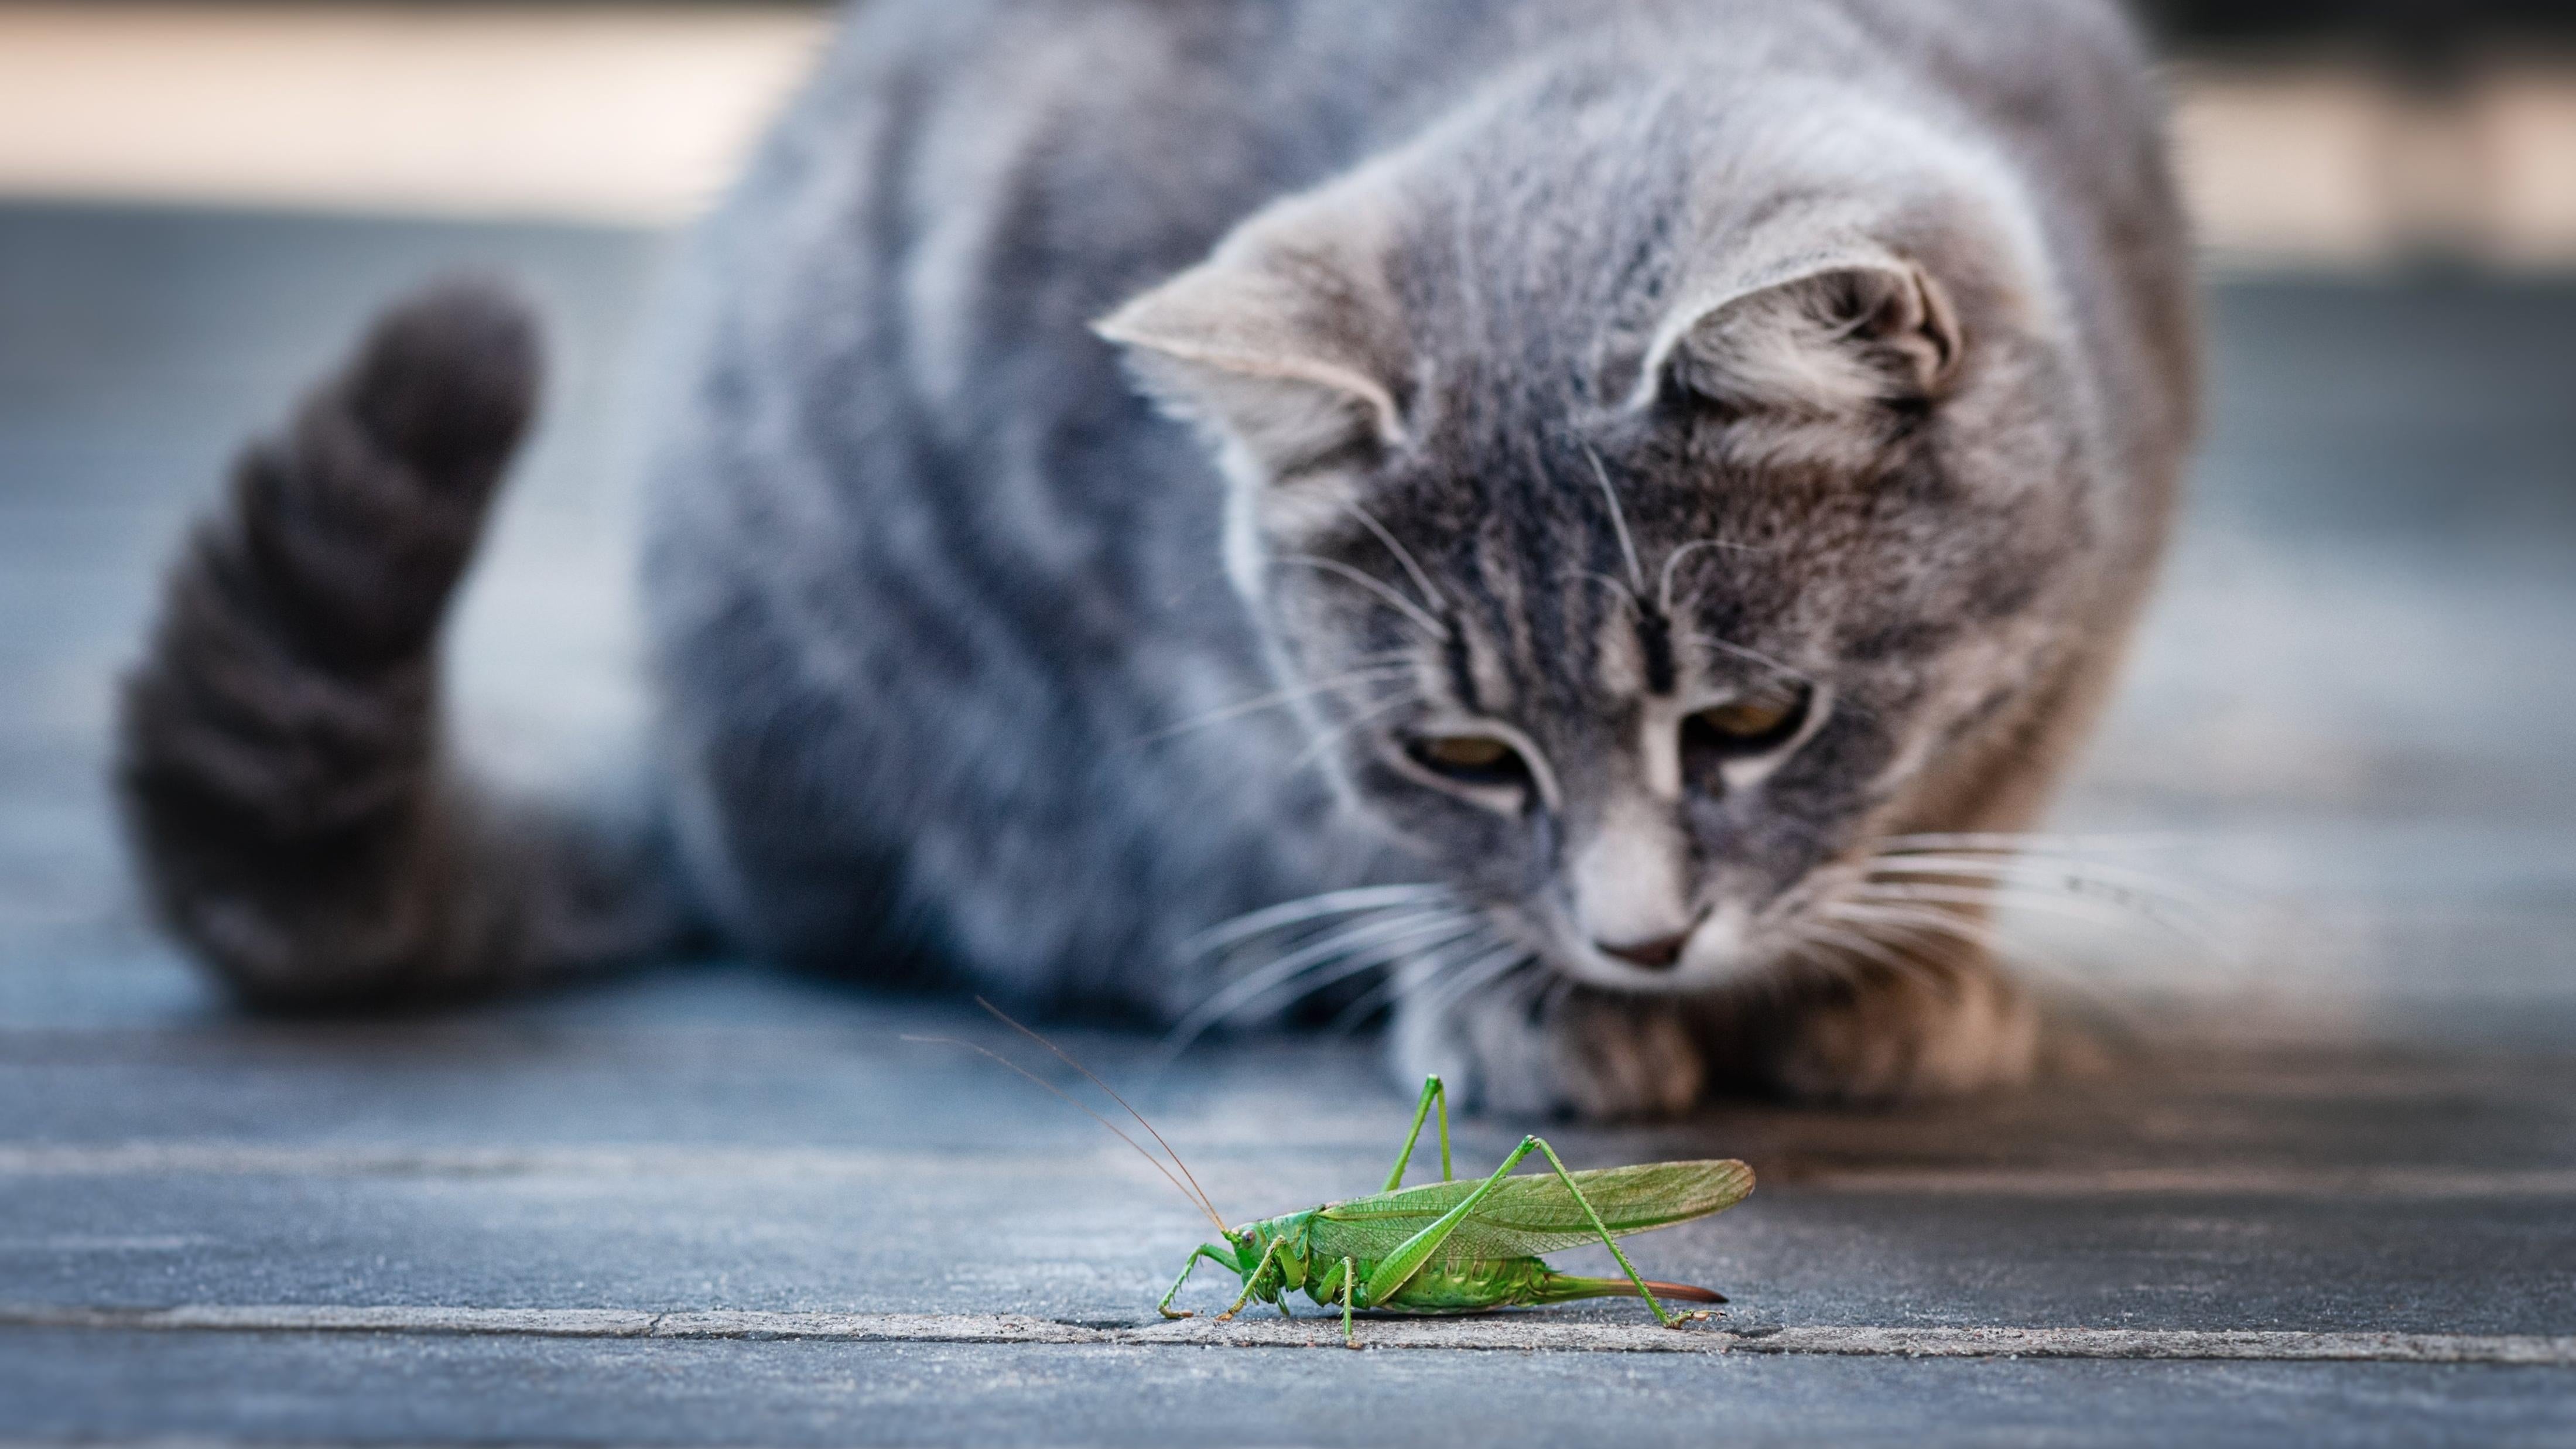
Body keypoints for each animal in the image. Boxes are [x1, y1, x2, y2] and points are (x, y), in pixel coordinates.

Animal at [115, 0, 2194, 1119]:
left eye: (1753, 721)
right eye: (1458, 755)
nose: (1635, 941)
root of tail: (698, 791)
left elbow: (1975, 779)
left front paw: (1892, 976)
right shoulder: (1158, 622)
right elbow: (1342, 833)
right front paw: (1531, 1004)